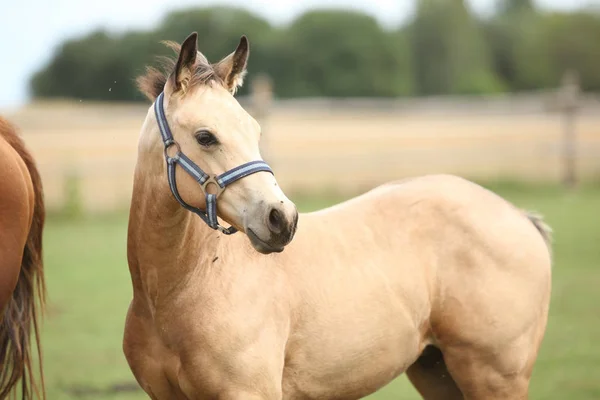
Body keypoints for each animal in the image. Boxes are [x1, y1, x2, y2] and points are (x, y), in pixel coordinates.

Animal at [123, 32, 552, 400]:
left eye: (255, 130)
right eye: (205, 136)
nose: (282, 219)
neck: (183, 290)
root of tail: (519, 217)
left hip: (494, 377)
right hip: (437, 372)